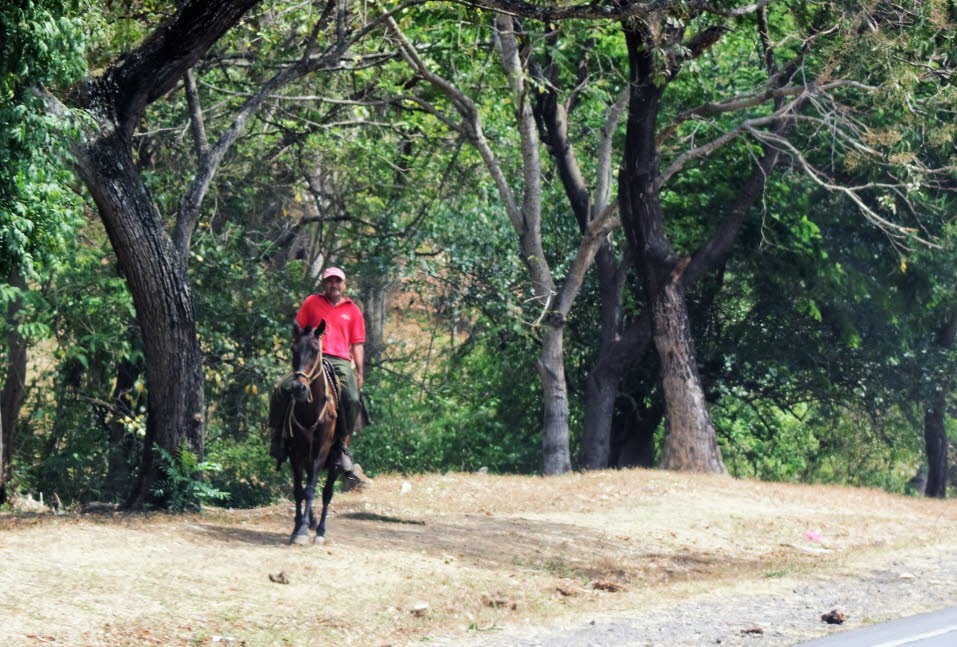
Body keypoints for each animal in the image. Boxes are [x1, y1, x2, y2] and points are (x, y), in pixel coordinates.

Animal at [282, 322, 342, 544]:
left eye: (316, 350)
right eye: (293, 349)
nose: (299, 388)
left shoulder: (321, 450)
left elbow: (310, 490)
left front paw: (302, 531)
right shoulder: (296, 451)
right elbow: (298, 490)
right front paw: (297, 527)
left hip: (335, 457)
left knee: (327, 492)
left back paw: (321, 531)